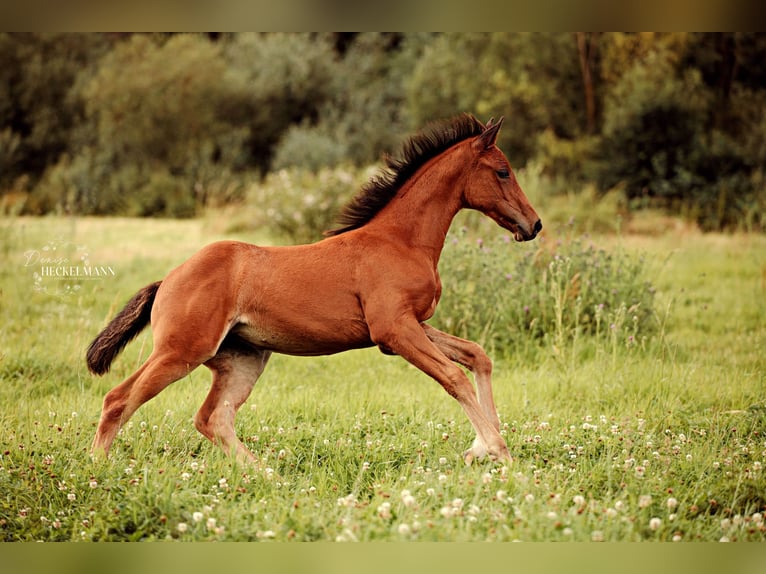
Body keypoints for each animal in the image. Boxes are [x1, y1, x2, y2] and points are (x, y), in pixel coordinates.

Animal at [87, 113, 544, 468]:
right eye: (503, 171)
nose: (534, 224)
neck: (401, 241)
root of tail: (167, 279)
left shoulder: (410, 326)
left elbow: (477, 356)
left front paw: (478, 448)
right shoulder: (394, 330)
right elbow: (454, 376)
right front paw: (499, 451)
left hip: (242, 359)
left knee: (212, 418)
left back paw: (267, 475)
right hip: (181, 350)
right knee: (117, 400)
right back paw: (97, 470)